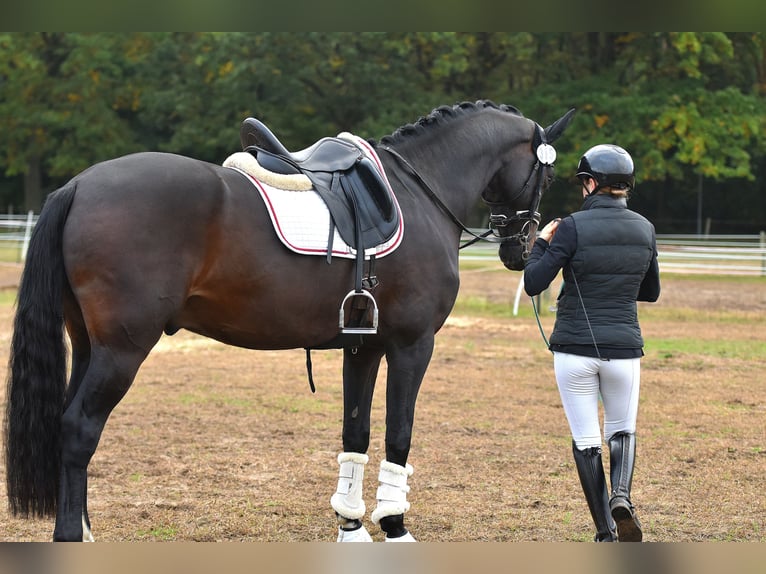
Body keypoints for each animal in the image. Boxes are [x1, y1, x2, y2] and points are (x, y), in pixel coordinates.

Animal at [4, 100, 574, 542]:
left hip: (89, 346)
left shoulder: (363, 346)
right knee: (79, 428)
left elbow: (355, 431)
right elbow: (399, 433)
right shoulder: (412, 345)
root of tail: (79, 186)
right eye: (547, 172)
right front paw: (394, 524)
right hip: (122, 351)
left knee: (68, 425)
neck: (418, 191)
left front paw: (352, 526)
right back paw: (71, 535)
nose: (522, 250)